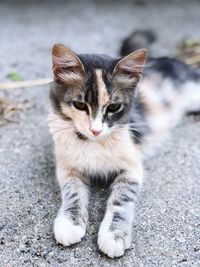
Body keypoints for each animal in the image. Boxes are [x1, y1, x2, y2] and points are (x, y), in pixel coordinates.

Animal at [48, 32, 200, 258]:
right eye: (80, 105)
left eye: (114, 107)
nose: (95, 130)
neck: (94, 143)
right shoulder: (68, 167)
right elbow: (73, 193)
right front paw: (70, 224)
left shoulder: (132, 167)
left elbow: (120, 201)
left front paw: (114, 235)